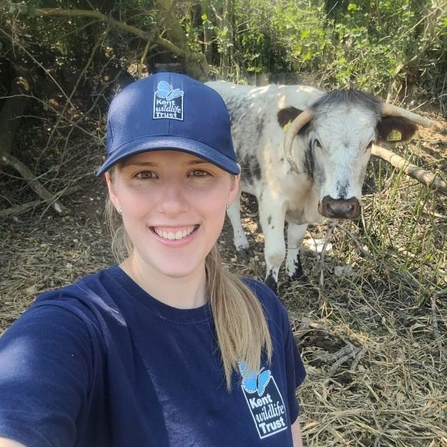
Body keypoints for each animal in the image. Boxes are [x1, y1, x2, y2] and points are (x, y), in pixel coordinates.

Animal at [208, 81, 436, 294]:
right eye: (318, 141)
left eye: (370, 143)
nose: (340, 206)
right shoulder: (272, 201)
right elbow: (276, 251)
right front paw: (272, 285)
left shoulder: (304, 208)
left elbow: (295, 240)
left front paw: (296, 273)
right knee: (233, 209)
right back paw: (241, 244)